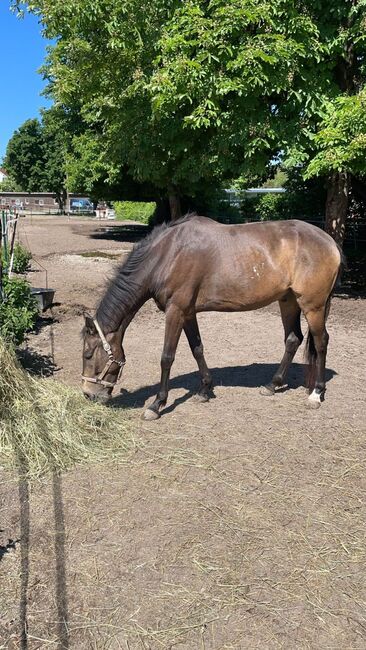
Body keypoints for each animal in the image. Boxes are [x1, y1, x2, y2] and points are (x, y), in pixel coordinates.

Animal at [82, 213, 344, 416]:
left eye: (87, 355)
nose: (87, 394)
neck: (167, 255)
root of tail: (329, 241)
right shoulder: (188, 313)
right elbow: (197, 349)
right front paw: (204, 390)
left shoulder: (175, 311)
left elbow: (167, 357)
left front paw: (157, 404)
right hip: (288, 300)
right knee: (292, 339)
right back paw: (272, 385)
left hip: (313, 306)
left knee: (321, 342)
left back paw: (316, 394)